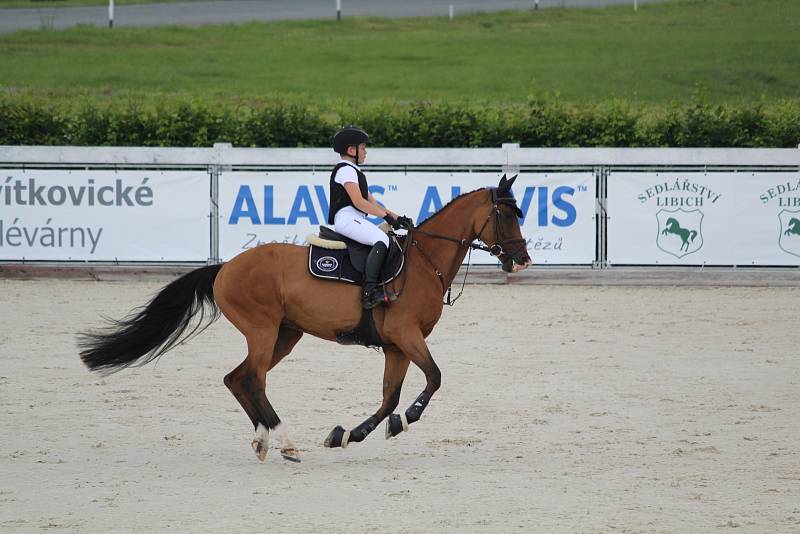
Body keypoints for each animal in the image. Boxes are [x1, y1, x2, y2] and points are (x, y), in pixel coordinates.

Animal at [79, 174, 532, 462]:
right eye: (507, 216)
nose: (523, 259)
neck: (423, 263)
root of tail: (226, 267)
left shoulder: (396, 346)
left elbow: (390, 398)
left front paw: (350, 434)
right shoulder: (406, 335)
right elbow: (434, 379)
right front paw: (405, 421)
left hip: (284, 334)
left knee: (237, 378)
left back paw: (263, 440)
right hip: (262, 330)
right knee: (253, 379)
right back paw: (284, 440)